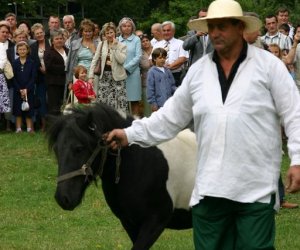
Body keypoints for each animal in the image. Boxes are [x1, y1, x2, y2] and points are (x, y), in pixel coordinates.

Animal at [47, 103, 197, 248]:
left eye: (79, 148)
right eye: (56, 149)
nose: (63, 198)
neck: (141, 162)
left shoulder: (155, 222)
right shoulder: (129, 222)